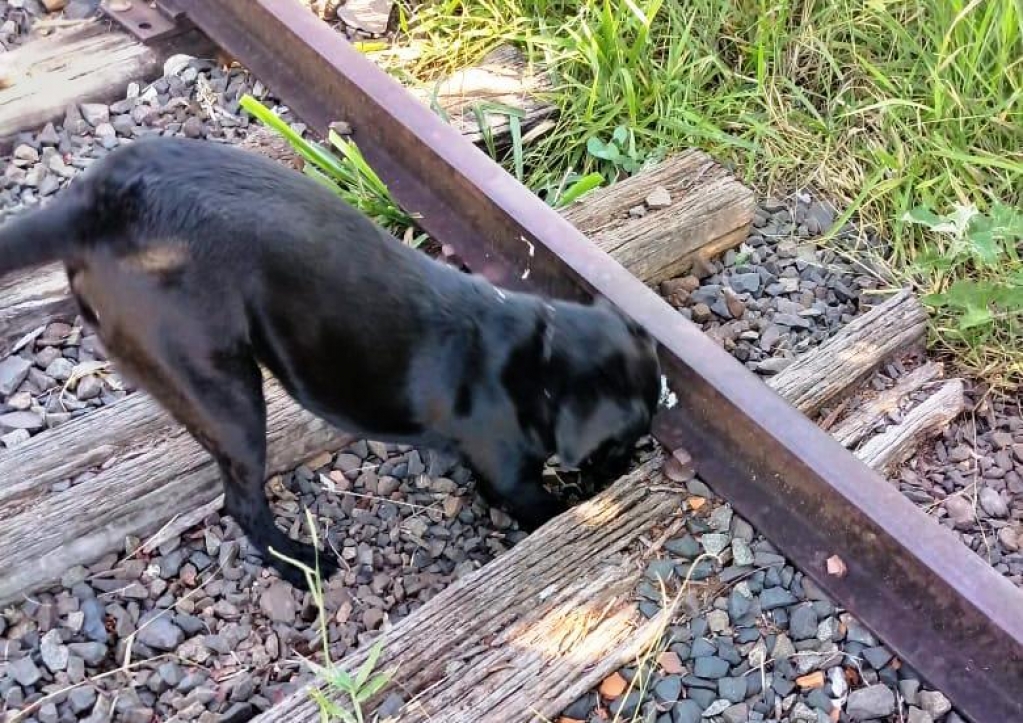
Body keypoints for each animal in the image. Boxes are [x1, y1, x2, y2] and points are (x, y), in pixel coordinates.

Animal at [0, 137, 658, 589]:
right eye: (622, 439)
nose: (628, 466)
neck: (529, 359)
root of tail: (93, 204)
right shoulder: (512, 474)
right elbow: (541, 502)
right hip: (226, 392)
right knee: (242, 503)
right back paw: (301, 564)